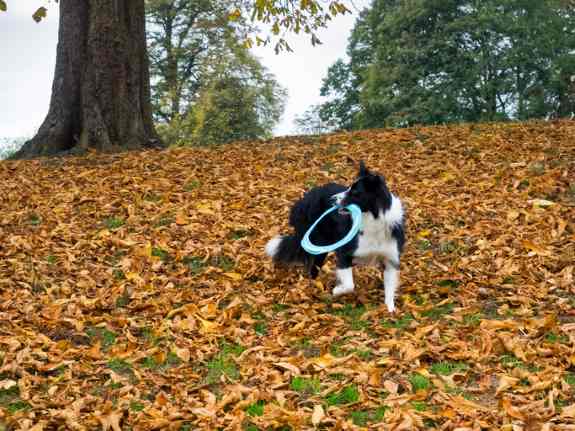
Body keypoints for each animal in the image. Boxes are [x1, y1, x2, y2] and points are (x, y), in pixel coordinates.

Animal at [266, 164, 404, 312]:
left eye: (355, 192)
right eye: (348, 188)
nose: (332, 199)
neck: (375, 220)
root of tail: (304, 199)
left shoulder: (391, 259)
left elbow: (389, 288)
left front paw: (390, 310)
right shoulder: (345, 254)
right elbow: (349, 285)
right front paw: (337, 290)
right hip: (319, 245)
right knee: (312, 269)